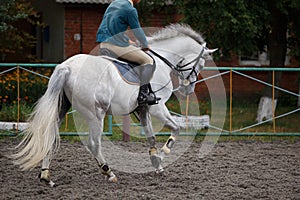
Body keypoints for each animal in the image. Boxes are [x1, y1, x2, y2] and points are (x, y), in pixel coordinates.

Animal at [11, 24, 217, 187]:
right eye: (201, 64)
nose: (188, 89)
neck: (162, 62)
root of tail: (67, 67)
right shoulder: (157, 107)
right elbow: (176, 129)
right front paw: (162, 155)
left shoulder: (143, 109)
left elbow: (151, 137)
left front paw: (156, 162)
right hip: (96, 114)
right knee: (94, 144)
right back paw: (109, 173)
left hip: (62, 108)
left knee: (51, 136)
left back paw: (46, 176)